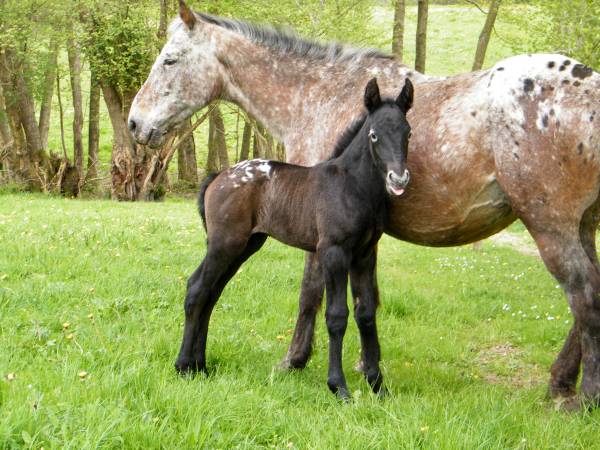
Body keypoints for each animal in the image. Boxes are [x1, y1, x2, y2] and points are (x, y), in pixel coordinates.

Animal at [130, 0, 600, 408]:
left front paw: (295, 361)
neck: (319, 95)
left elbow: (311, 294)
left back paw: (583, 398)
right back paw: (560, 383)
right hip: (581, 226)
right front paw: (365, 368)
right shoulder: (357, 244)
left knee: (585, 298)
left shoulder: (324, 239)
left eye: (170, 60)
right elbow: (365, 302)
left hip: (550, 226)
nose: (136, 123)